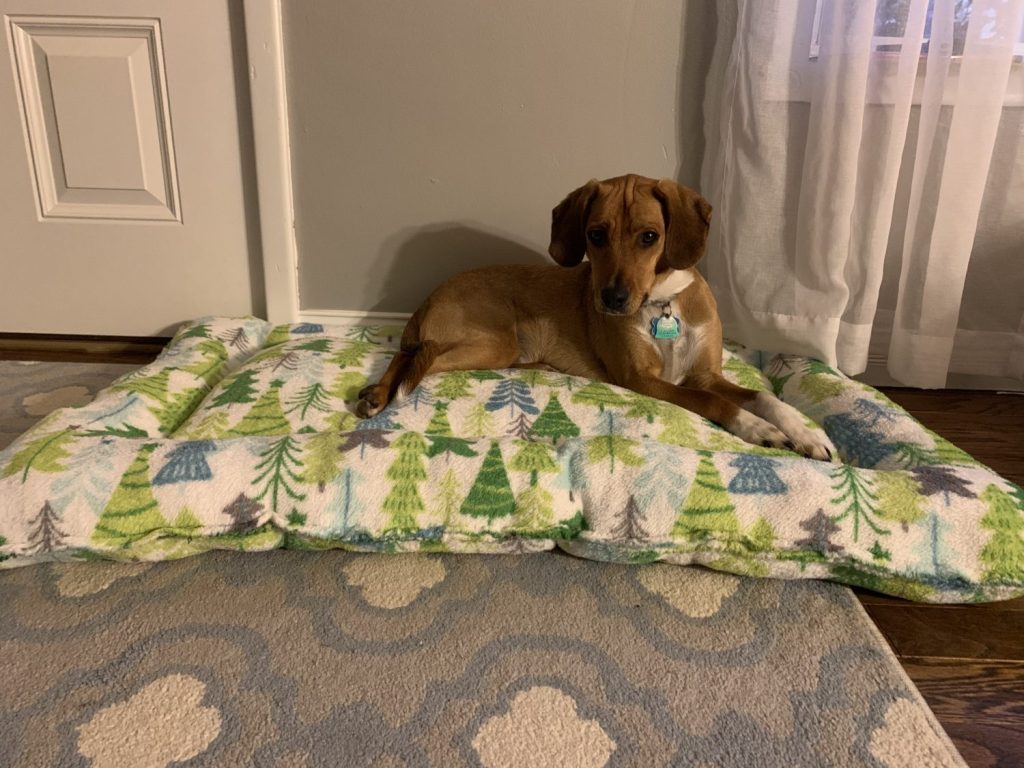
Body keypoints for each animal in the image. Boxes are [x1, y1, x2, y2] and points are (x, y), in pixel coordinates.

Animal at [356, 174, 835, 460]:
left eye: (650, 236)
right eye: (595, 235)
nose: (613, 299)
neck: (661, 302)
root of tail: (429, 297)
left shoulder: (705, 374)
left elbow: (765, 397)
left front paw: (806, 434)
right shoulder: (643, 380)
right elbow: (715, 403)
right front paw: (757, 429)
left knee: (410, 354)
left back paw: (376, 393)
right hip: (495, 343)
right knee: (415, 356)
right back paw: (381, 394)